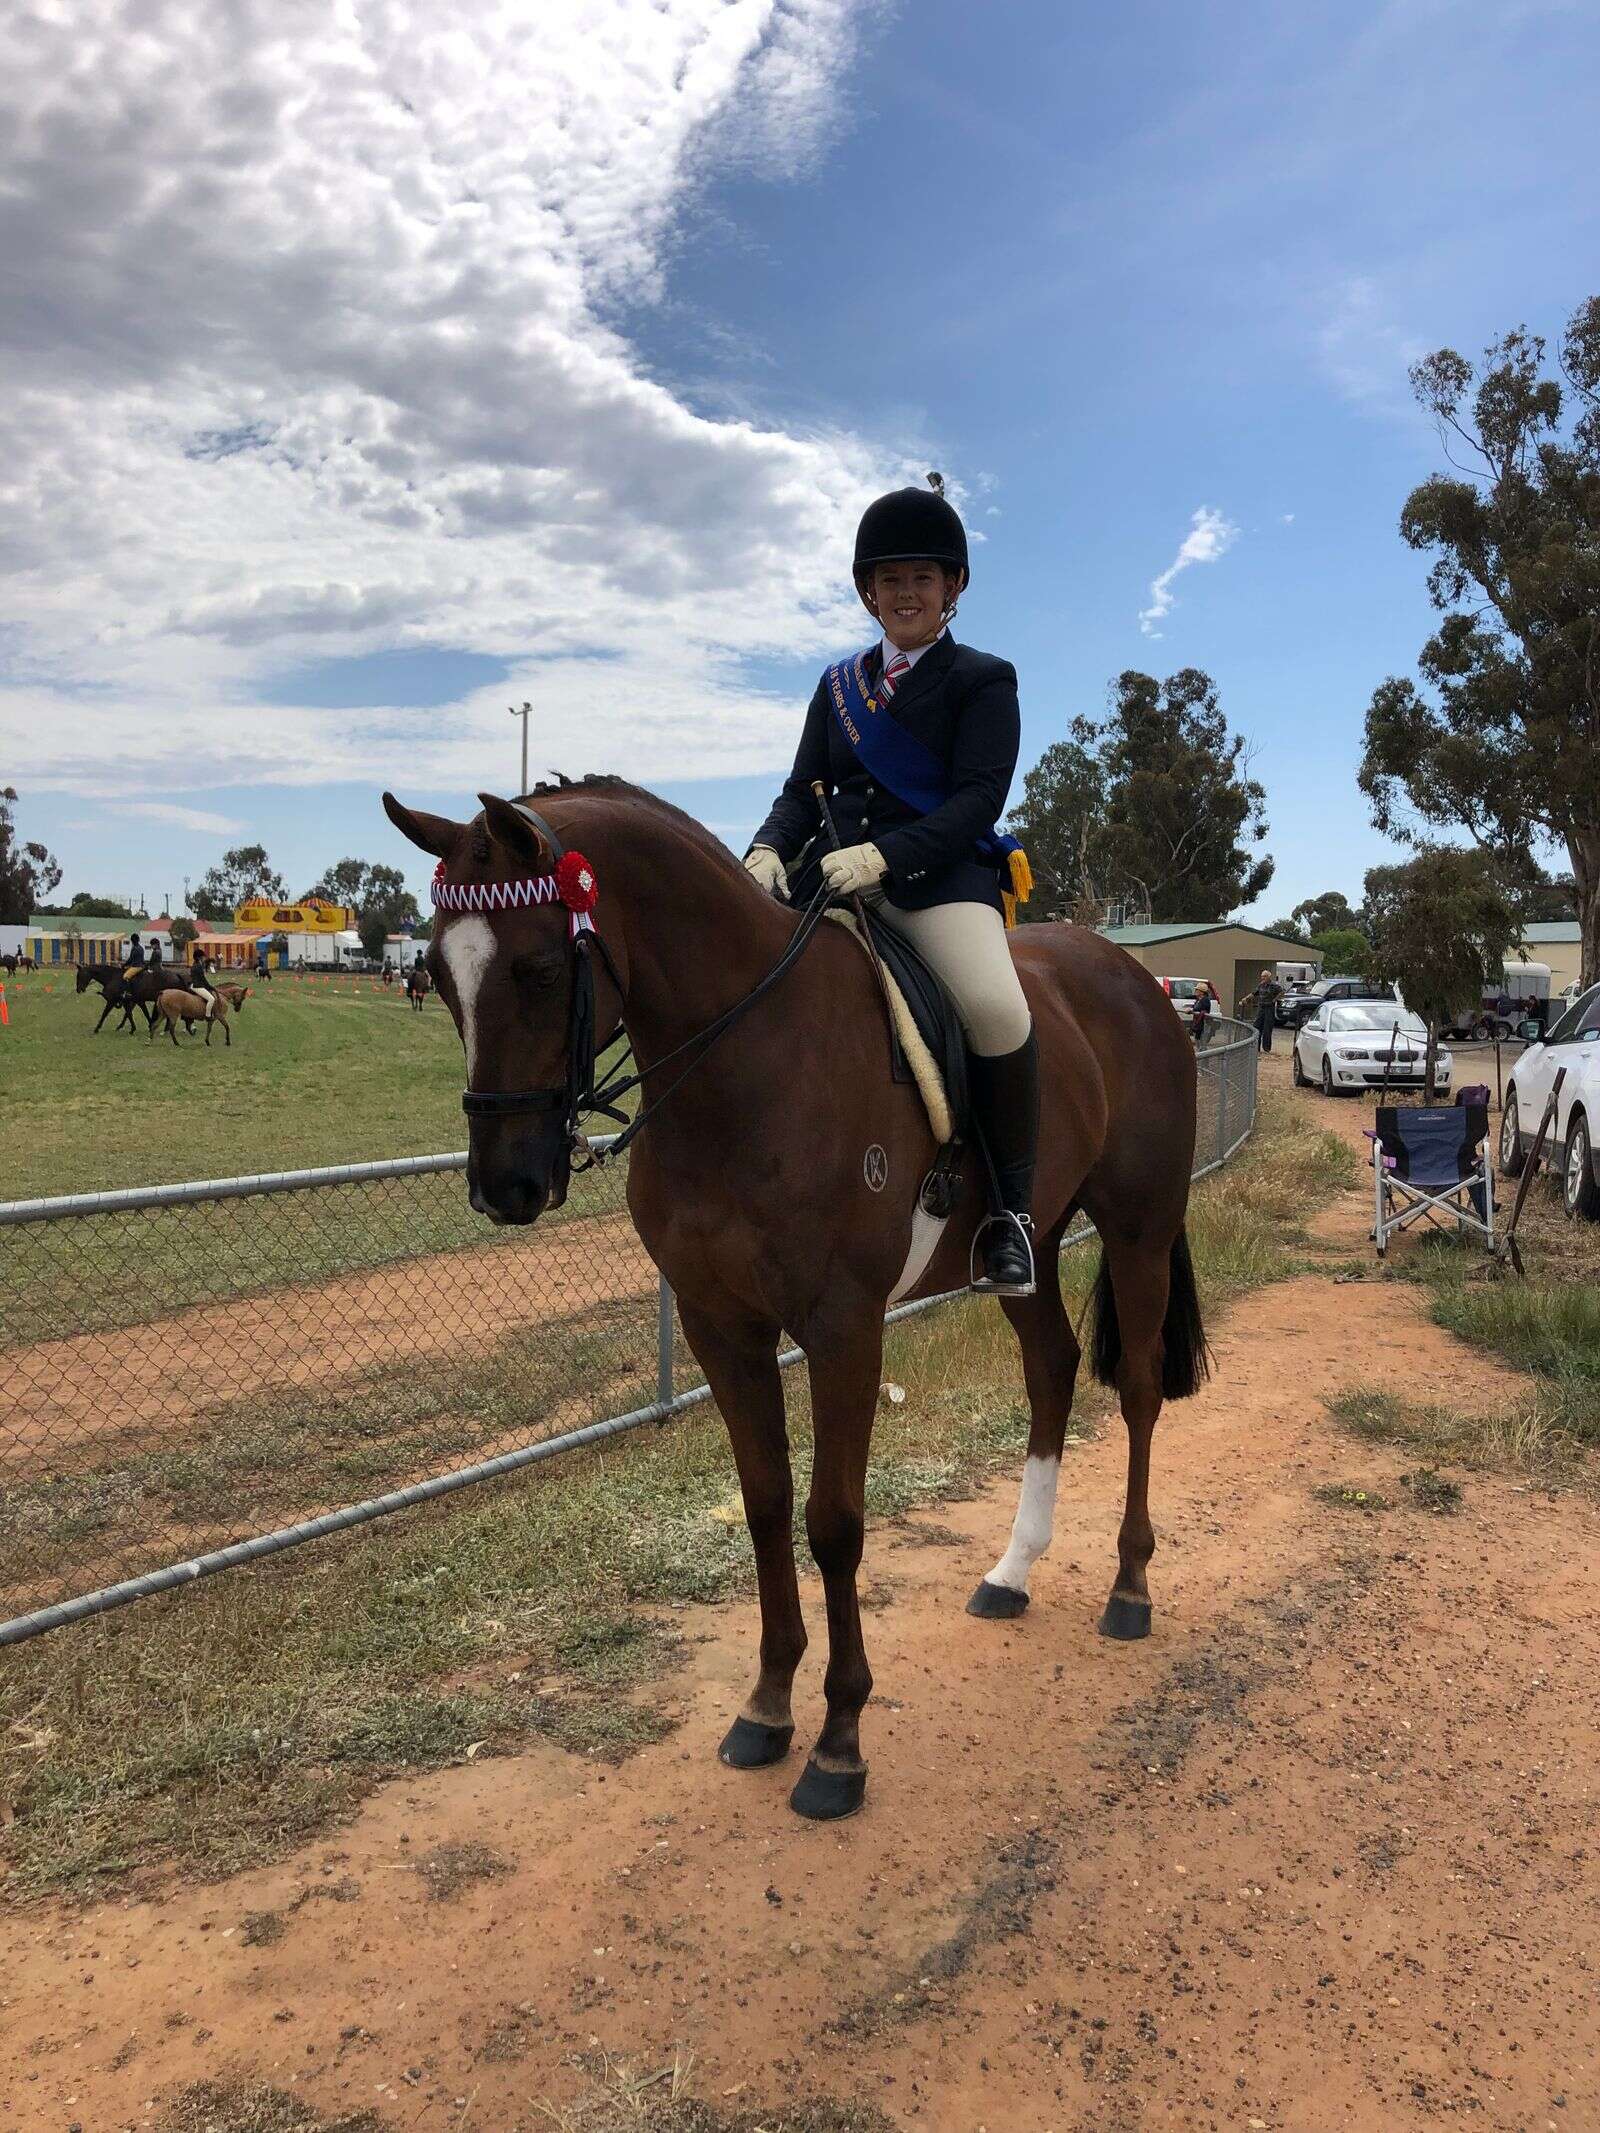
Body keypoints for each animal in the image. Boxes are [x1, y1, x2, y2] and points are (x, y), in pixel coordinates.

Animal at [383, 780, 1206, 1822]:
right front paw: (769, 1705)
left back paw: (1130, 1586)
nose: (505, 1187)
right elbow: (767, 1503)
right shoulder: (720, 1327)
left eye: (535, 968)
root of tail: (1139, 981)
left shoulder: (842, 1329)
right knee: (1052, 1370)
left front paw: (839, 1742)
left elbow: (835, 1522)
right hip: (1031, 1247)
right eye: (437, 976)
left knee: (1136, 1390)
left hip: (1138, 1231)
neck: (747, 1058)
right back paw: (1013, 1570)